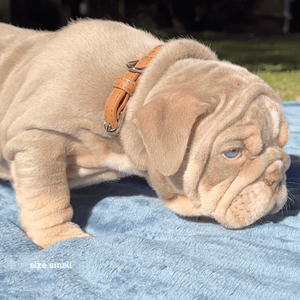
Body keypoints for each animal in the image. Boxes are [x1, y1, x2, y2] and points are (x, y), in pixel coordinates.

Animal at [0, 19, 290, 248]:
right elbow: (47, 196)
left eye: (284, 147)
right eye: (231, 153)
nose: (277, 178)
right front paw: (62, 239)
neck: (130, 93)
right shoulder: (35, 136)